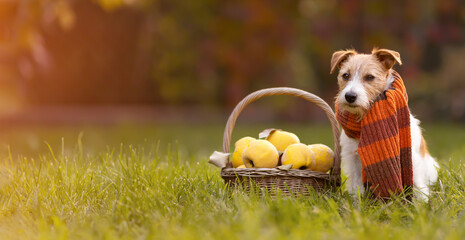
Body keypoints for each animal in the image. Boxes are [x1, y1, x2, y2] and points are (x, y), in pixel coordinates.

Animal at [330, 48, 438, 201]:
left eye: (370, 77)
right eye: (345, 75)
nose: (350, 96)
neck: (362, 119)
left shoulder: (411, 159)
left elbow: (417, 185)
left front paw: (422, 204)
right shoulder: (352, 159)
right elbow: (355, 186)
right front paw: (356, 204)